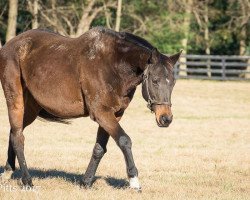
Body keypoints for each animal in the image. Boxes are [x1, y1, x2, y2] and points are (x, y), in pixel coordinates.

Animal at [0, 27, 181, 191]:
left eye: (173, 82)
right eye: (155, 80)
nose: (166, 118)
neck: (113, 65)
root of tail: (10, 44)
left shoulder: (114, 115)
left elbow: (99, 148)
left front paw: (86, 182)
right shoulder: (101, 113)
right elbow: (124, 141)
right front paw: (134, 181)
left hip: (30, 108)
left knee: (14, 132)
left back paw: (8, 171)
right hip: (15, 101)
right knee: (18, 138)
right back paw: (27, 181)